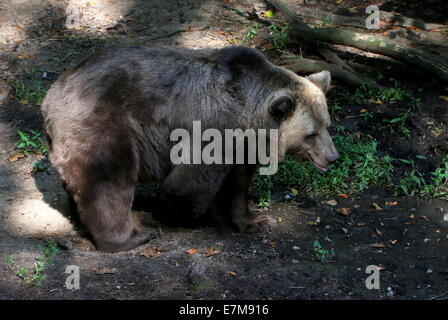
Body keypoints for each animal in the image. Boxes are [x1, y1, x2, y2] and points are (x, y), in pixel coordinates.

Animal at [42, 46, 338, 252]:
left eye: (327, 125)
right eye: (311, 133)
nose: (333, 157)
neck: (249, 116)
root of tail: (51, 95)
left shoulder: (242, 145)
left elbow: (239, 184)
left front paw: (254, 221)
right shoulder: (213, 128)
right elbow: (188, 182)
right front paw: (181, 213)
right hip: (103, 123)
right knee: (109, 180)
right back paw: (131, 237)